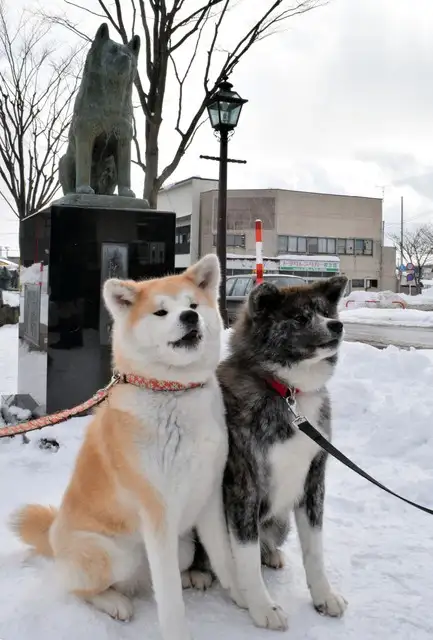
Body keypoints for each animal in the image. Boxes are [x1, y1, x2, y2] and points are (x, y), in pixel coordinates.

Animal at [10, 254, 238, 640]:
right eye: (161, 312)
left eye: (193, 305)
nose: (189, 317)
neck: (173, 392)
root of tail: (54, 539)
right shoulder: (157, 513)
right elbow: (170, 602)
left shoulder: (208, 495)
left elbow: (224, 558)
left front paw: (255, 604)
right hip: (115, 553)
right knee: (83, 589)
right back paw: (115, 602)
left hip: (183, 545)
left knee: (158, 578)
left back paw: (190, 577)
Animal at [185, 274, 348, 632]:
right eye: (299, 317)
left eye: (326, 311)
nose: (337, 325)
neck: (287, 392)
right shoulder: (243, 487)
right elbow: (244, 556)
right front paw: (262, 607)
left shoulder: (313, 482)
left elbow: (314, 551)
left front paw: (324, 596)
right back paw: (198, 572)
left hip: (281, 520)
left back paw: (270, 553)